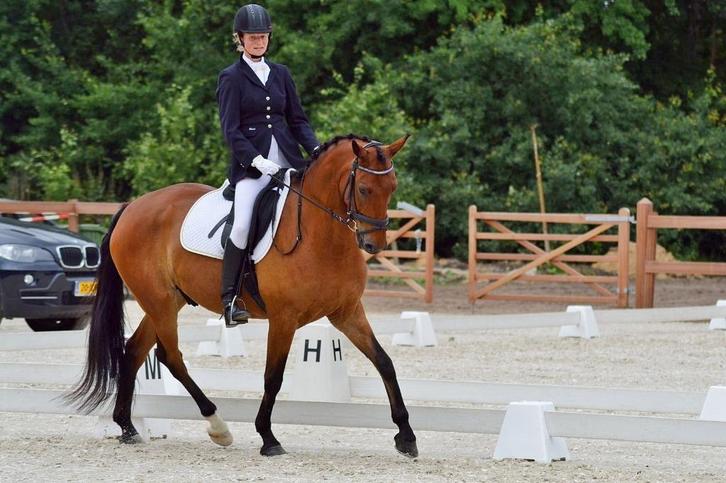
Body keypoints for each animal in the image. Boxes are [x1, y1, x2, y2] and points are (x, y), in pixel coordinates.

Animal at [67, 134, 418, 458]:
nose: (374, 245)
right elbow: (273, 377)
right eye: (364, 189)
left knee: (135, 351)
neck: (320, 236)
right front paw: (268, 438)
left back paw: (127, 427)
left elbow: (384, 362)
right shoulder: (284, 318)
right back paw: (218, 427)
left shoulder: (347, 312)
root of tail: (132, 207)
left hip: (167, 301)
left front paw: (406, 436)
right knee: (171, 358)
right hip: (158, 301)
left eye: (392, 187)